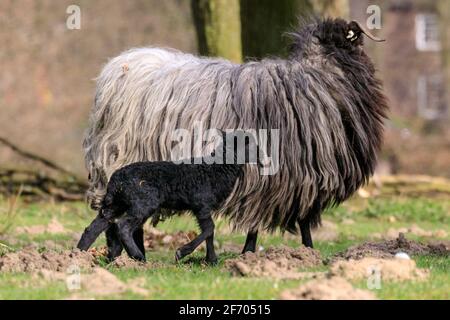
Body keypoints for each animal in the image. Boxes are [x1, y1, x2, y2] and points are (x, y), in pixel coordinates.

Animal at [83, 18, 386, 255]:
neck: (318, 72)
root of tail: (116, 69)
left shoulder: (296, 179)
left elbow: (299, 219)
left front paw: (303, 252)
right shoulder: (277, 177)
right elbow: (278, 221)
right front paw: (261, 252)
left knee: (113, 220)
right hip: (125, 165)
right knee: (122, 222)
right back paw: (134, 256)